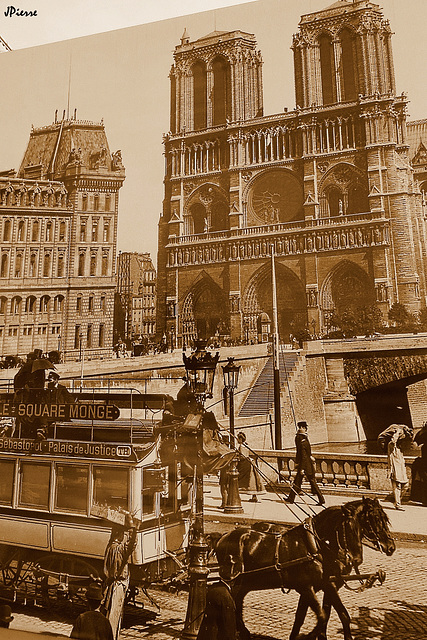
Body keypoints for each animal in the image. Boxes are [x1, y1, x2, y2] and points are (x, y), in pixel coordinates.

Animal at [213, 498, 394, 640]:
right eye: (374, 520)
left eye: (384, 519)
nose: (391, 547)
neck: (316, 547)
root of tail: (223, 537)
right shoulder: (307, 587)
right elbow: (321, 616)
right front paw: (309, 635)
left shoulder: (324, 585)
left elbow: (334, 615)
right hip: (234, 580)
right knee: (231, 602)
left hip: (246, 583)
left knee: (237, 603)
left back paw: (243, 632)